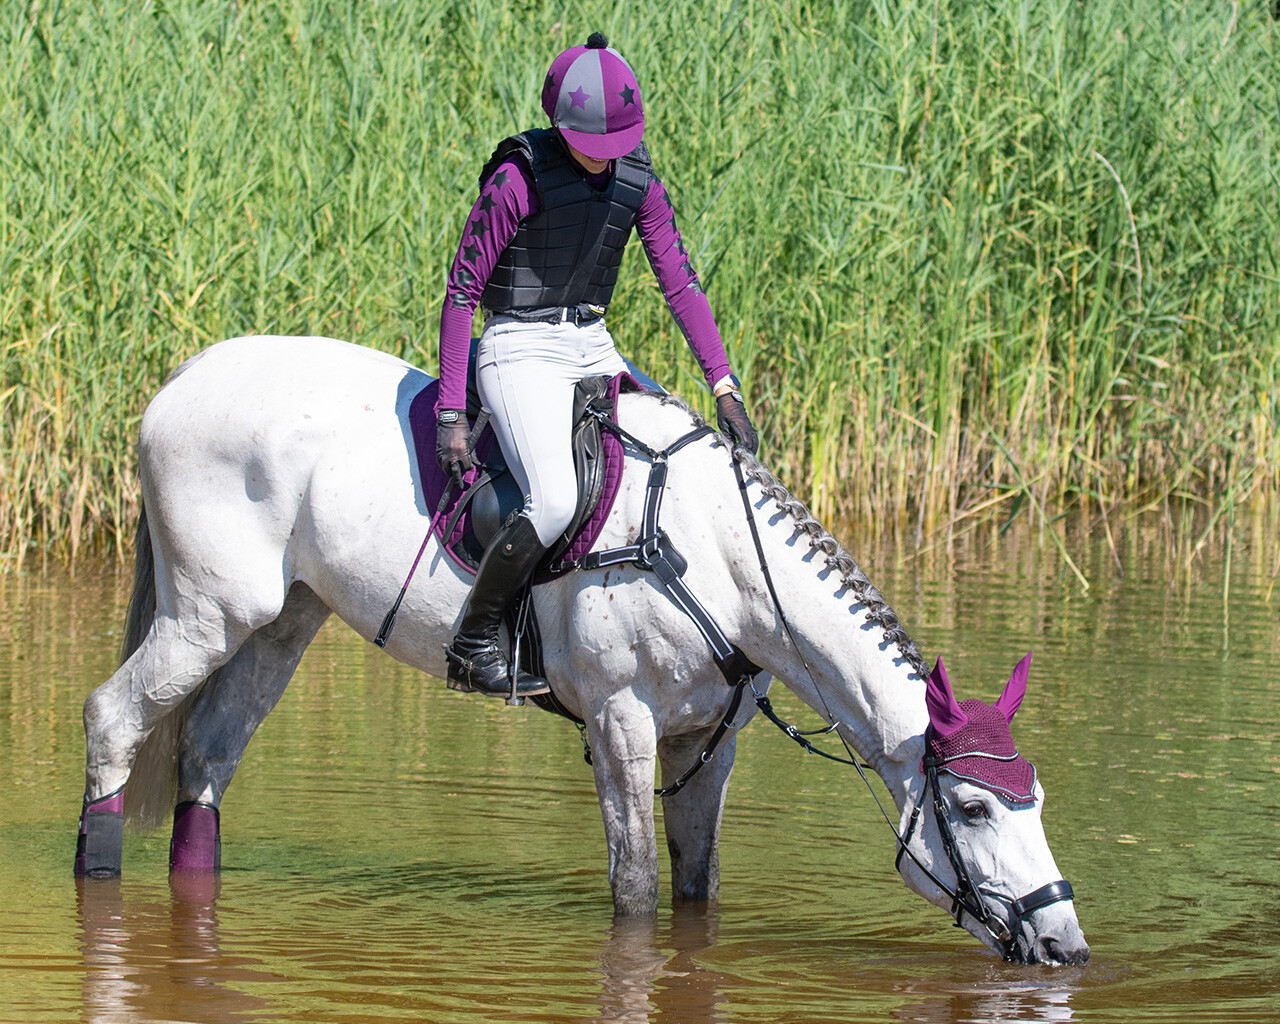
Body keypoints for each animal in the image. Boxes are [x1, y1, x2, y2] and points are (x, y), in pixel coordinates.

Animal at [76, 334, 1089, 966]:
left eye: (1036, 800)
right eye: (971, 809)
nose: (1067, 946)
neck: (719, 555)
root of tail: (184, 378)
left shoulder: (708, 745)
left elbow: (696, 890)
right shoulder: (620, 720)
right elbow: (635, 892)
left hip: (284, 620)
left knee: (207, 759)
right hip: (207, 613)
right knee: (113, 720)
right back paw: (97, 876)